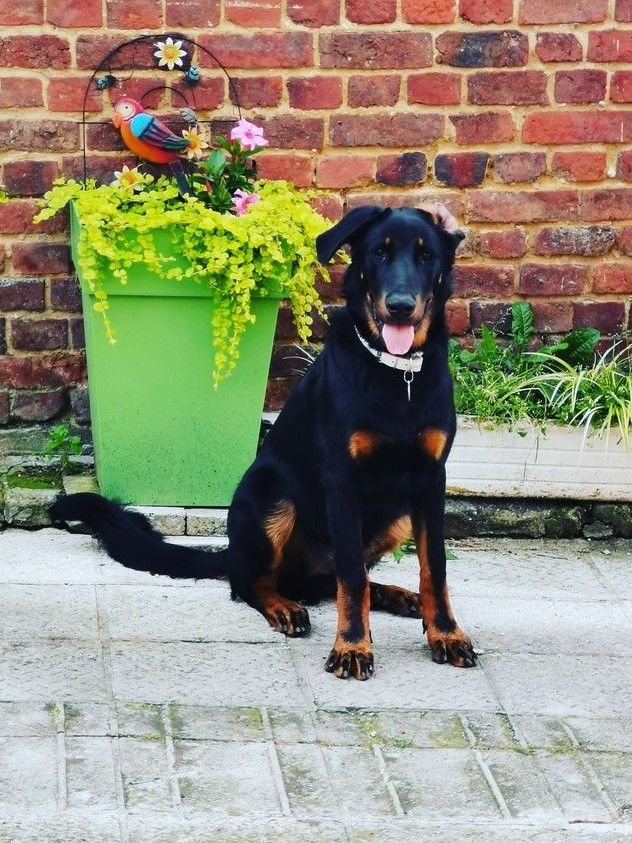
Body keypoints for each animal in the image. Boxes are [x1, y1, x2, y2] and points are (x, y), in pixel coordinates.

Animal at [51, 203, 476, 681]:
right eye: (379, 253)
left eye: (426, 256)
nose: (401, 307)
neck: (397, 374)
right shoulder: (342, 481)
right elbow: (351, 578)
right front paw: (352, 646)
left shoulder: (431, 481)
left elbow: (433, 568)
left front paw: (445, 633)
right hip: (271, 494)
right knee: (255, 582)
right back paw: (284, 606)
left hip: (397, 515)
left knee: (344, 580)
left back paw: (398, 596)